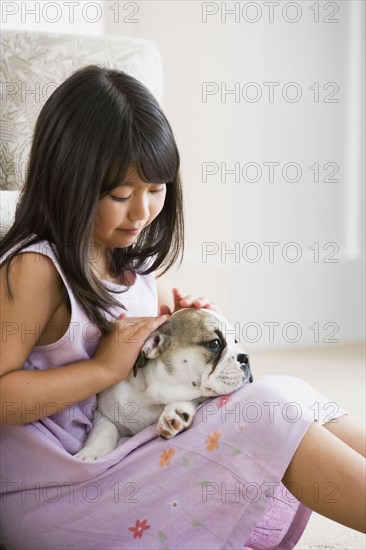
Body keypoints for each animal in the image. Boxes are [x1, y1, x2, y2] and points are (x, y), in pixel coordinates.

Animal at [76, 310, 253, 462]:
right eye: (215, 343)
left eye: (236, 342)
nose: (246, 357)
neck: (150, 397)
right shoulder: (102, 413)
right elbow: (104, 430)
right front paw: (90, 453)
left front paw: (175, 412)